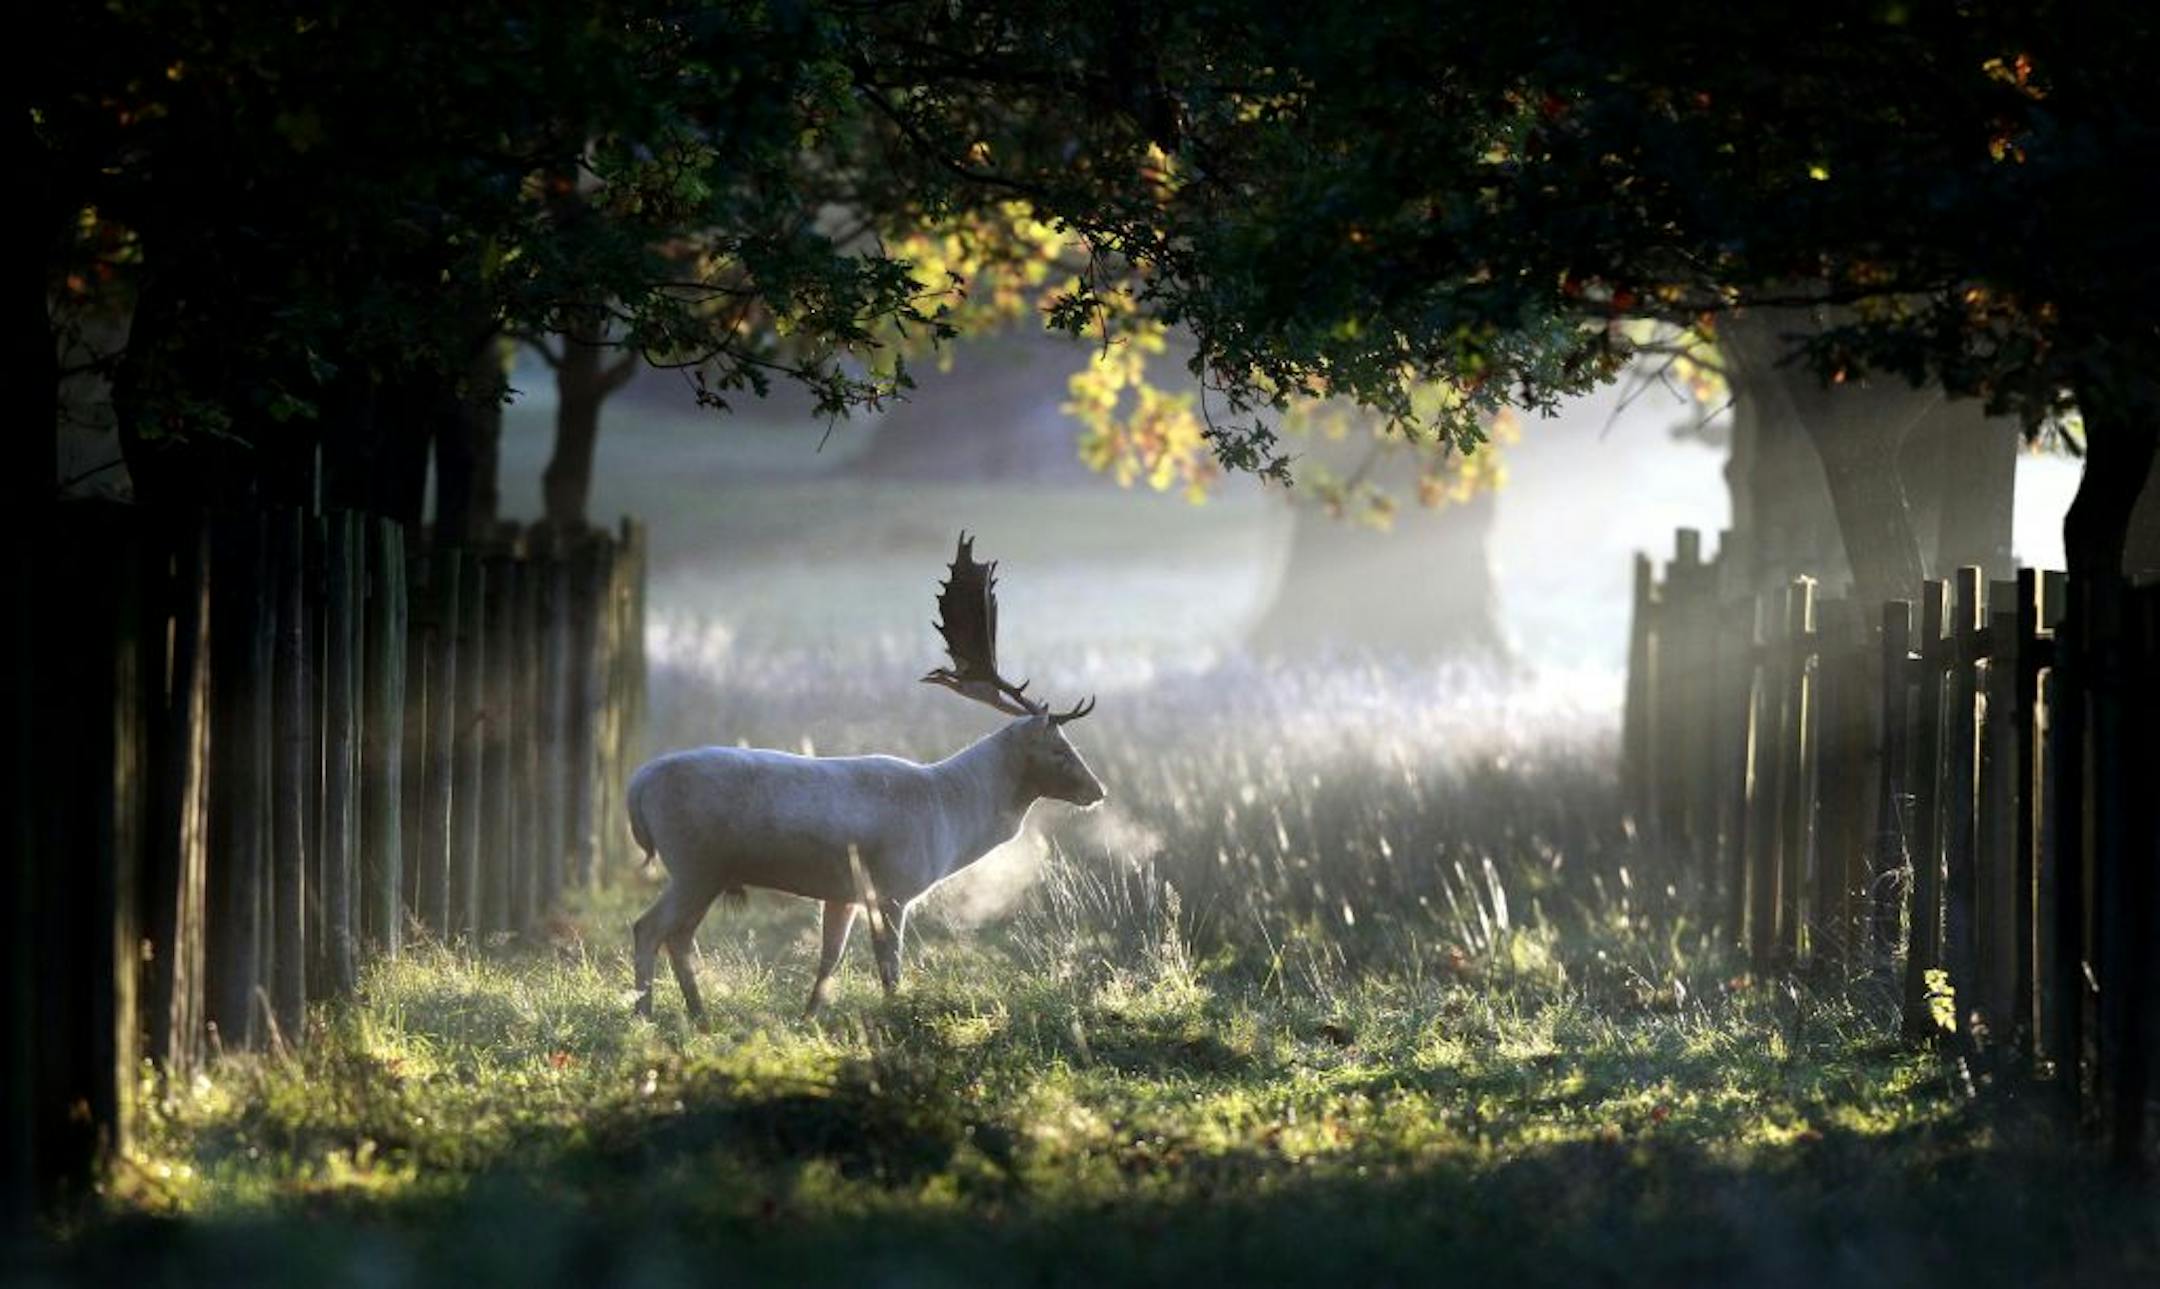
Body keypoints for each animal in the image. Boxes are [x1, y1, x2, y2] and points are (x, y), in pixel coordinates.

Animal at [625, 533, 1105, 1020]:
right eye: (1059, 749)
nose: (1097, 790)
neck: (951, 813)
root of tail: (638, 785)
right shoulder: (894, 887)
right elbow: (889, 965)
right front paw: (897, 1014)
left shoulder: (842, 894)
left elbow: (830, 959)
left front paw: (809, 1019)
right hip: (695, 862)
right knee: (648, 928)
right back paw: (644, 1016)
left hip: (708, 872)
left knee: (679, 938)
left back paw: (699, 1017)